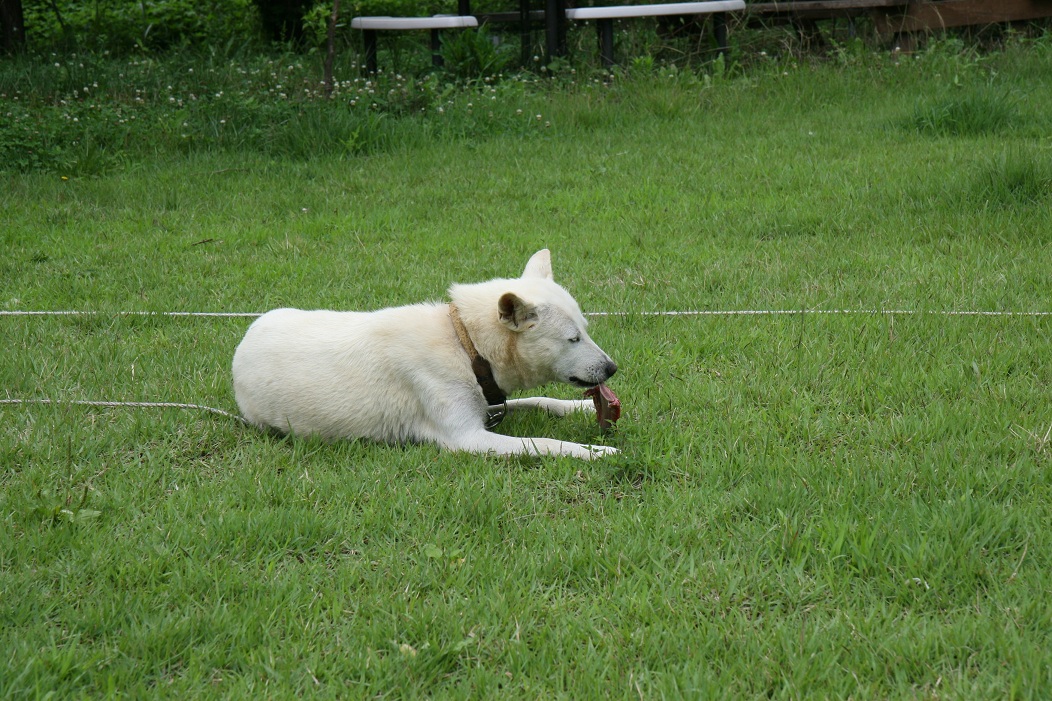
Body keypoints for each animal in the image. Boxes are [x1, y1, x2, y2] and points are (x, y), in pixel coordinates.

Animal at [232, 249, 619, 459]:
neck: (465, 345)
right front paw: (596, 453)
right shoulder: (467, 439)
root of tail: (243, 344)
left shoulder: (487, 405)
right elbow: (547, 443)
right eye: (572, 339)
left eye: (585, 330)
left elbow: (540, 400)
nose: (612, 368)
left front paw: (581, 409)